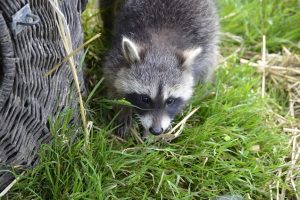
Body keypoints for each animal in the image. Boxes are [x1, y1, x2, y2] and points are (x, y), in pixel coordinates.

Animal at [102, 0, 219, 138]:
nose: (156, 131)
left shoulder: (204, 45)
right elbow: (112, 81)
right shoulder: (117, 55)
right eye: (145, 99)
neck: (161, 44)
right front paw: (122, 108)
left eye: (170, 100)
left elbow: (204, 75)